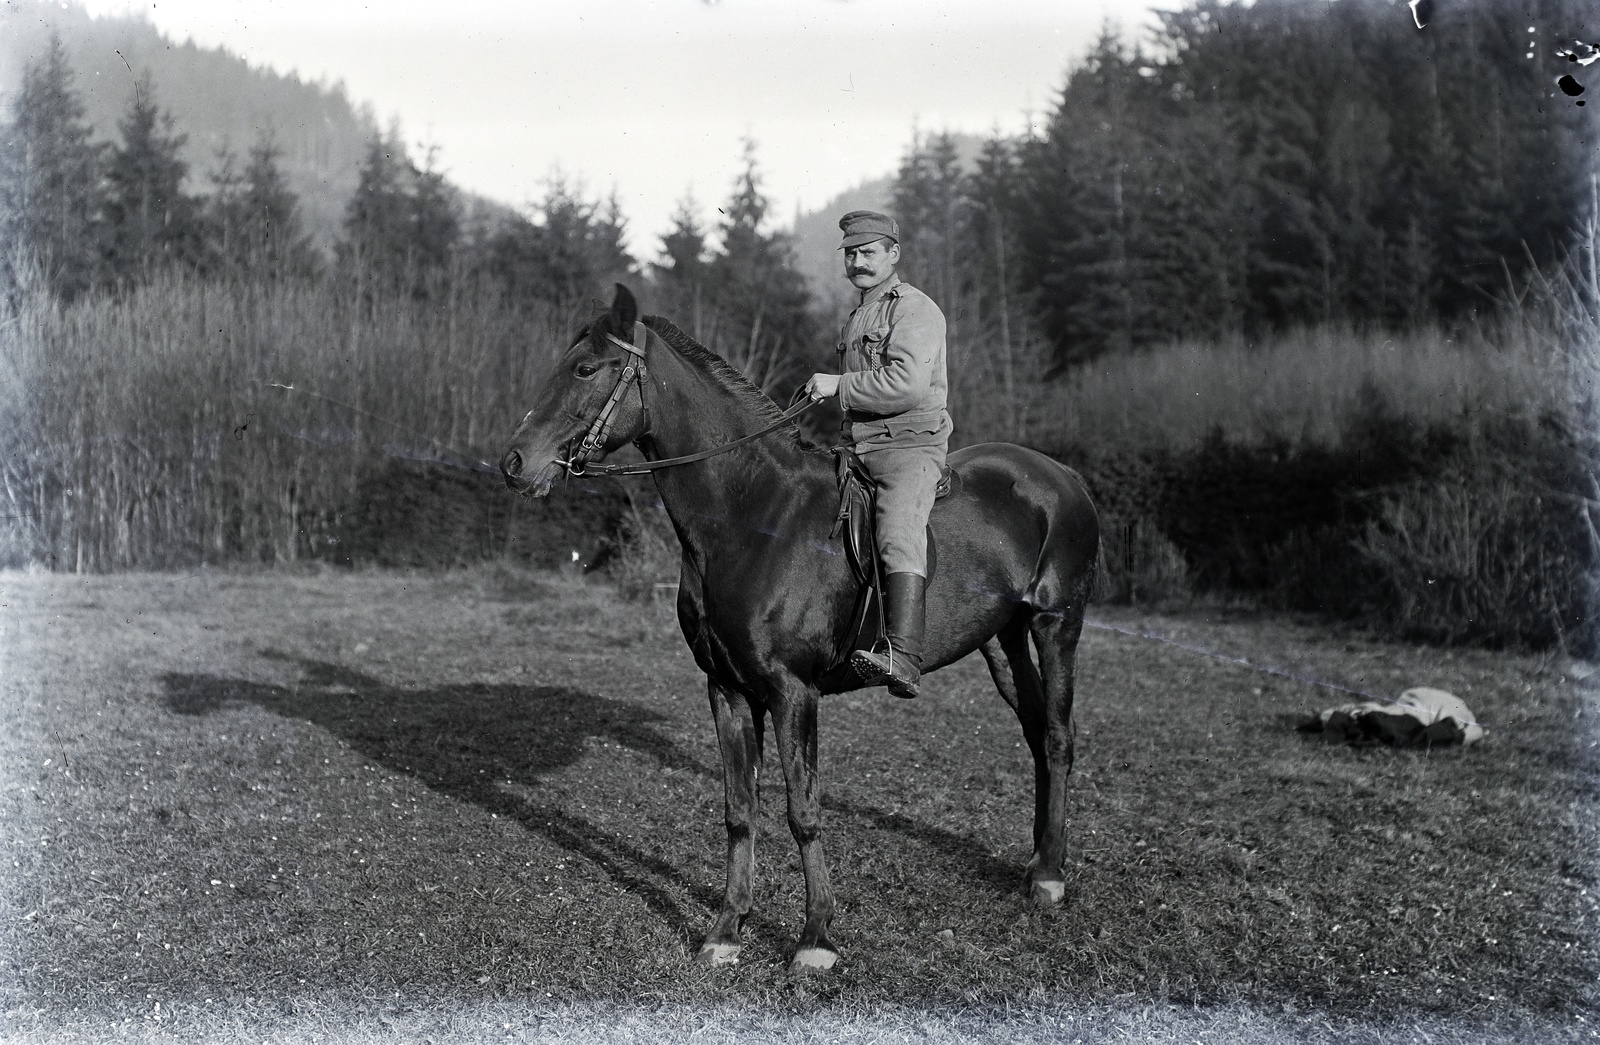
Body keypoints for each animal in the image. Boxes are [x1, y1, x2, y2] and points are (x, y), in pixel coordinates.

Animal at [500, 285, 1100, 971]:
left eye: (585, 369)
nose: (516, 463)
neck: (753, 514)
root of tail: (1062, 477)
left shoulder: (793, 692)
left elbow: (802, 810)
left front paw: (815, 938)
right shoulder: (729, 691)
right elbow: (740, 811)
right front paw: (727, 930)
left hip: (1056, 624)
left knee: (1057, 736)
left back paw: (1050, 878)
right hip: (1001, 640)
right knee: (1035, 732)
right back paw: (1037, 862)